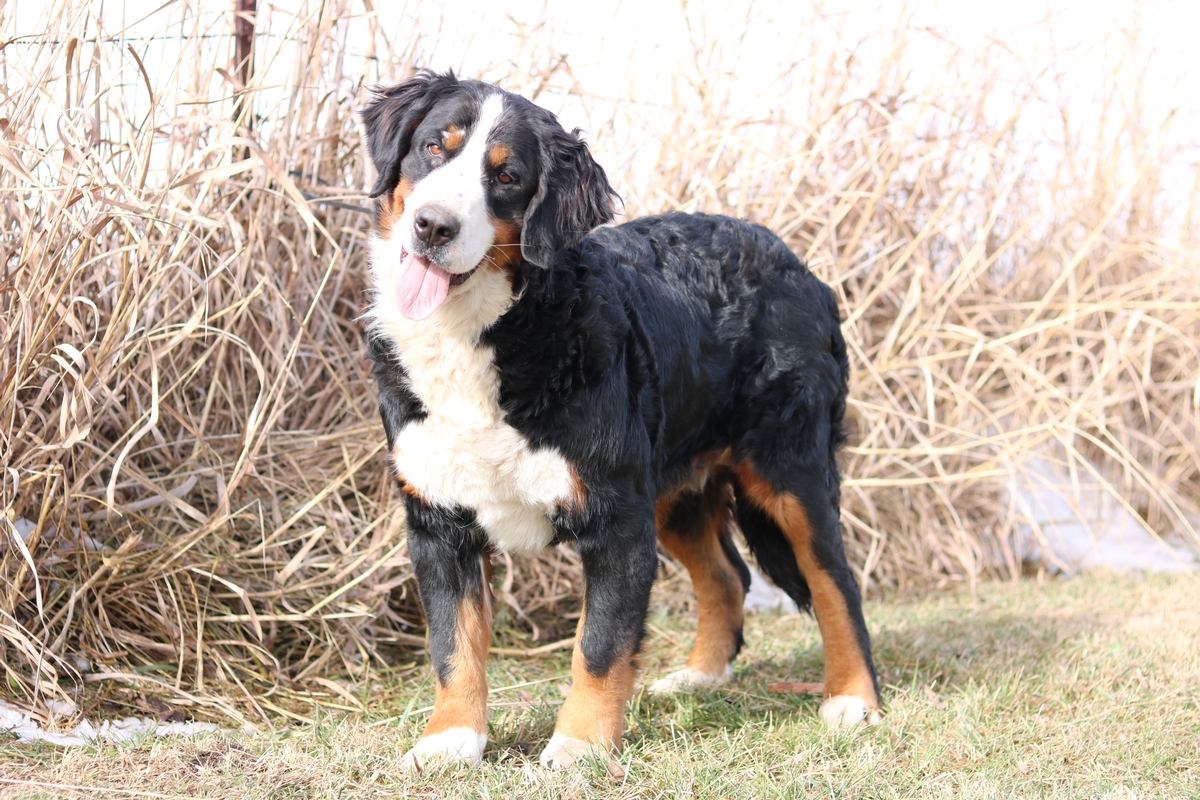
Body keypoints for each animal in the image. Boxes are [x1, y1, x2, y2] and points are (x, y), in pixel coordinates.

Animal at [357, 70, 883, 777]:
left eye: (507, 176)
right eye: (435, 147)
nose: (433, 225)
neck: (487, 335)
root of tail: (801, 269)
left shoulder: (616, 519)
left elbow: (600, 646)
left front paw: (578, 747)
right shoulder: (439, 521)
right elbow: (453, 647)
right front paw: (449, 741)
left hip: (788, 473)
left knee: (835, 583)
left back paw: (852, 699)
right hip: (671, 489)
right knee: (728, 577)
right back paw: (697, 679)